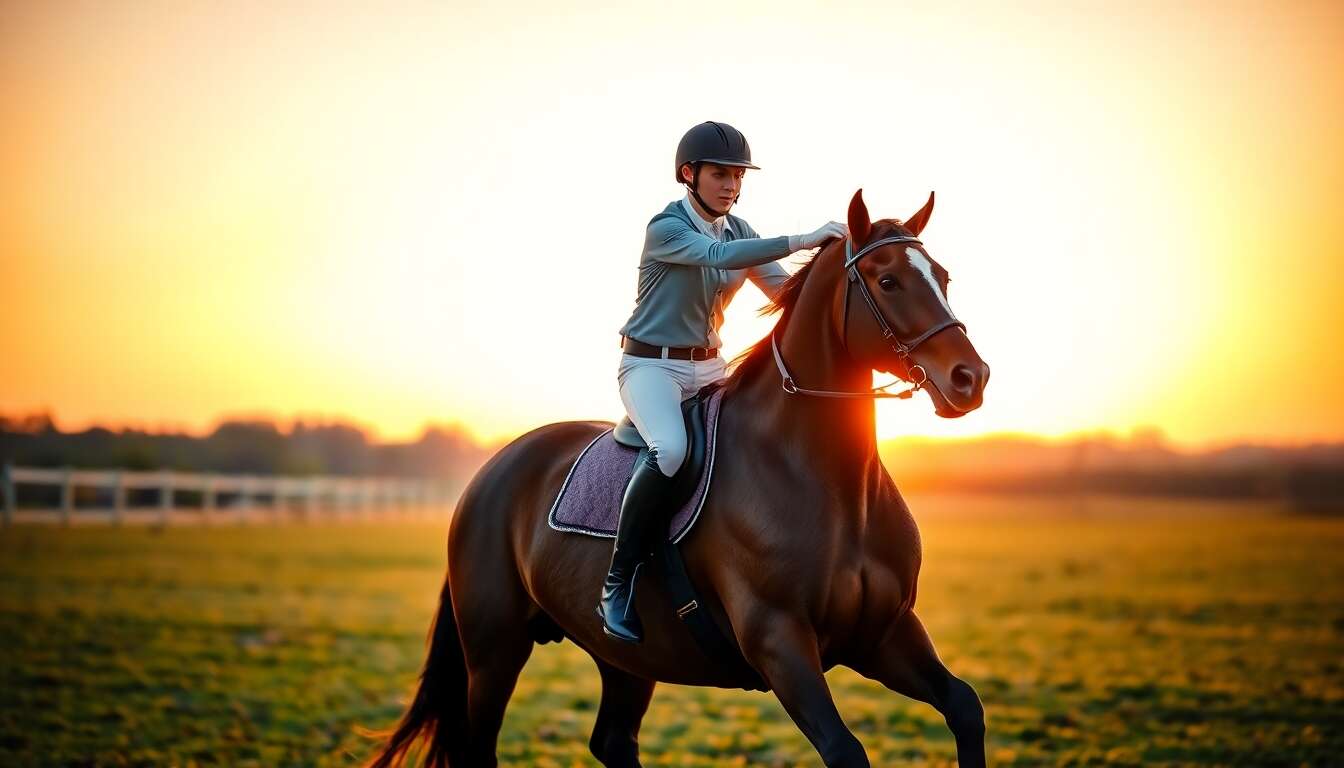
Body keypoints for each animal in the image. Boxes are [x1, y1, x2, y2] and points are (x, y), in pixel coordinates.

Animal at [367, 189, 991, 768]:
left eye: (942, 276)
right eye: (887, 282)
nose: (970, 378)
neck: (830, 485)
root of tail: (494, 470)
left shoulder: (885, 632)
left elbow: (965, 707)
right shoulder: (780, 641)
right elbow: (845, 750)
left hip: (626, 660)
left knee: (613, 740)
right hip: (493, 652)